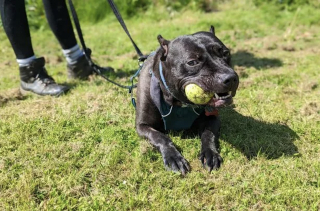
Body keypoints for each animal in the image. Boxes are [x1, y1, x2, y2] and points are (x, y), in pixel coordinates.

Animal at [134, 26, 238, 175]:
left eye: (226, 53)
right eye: (192, 62)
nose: (231, 77)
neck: (178, 103)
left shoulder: (212, 119)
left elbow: (208, 134)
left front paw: (210, 153)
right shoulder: (142, 126)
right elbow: (160, 137)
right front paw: (173, 157)